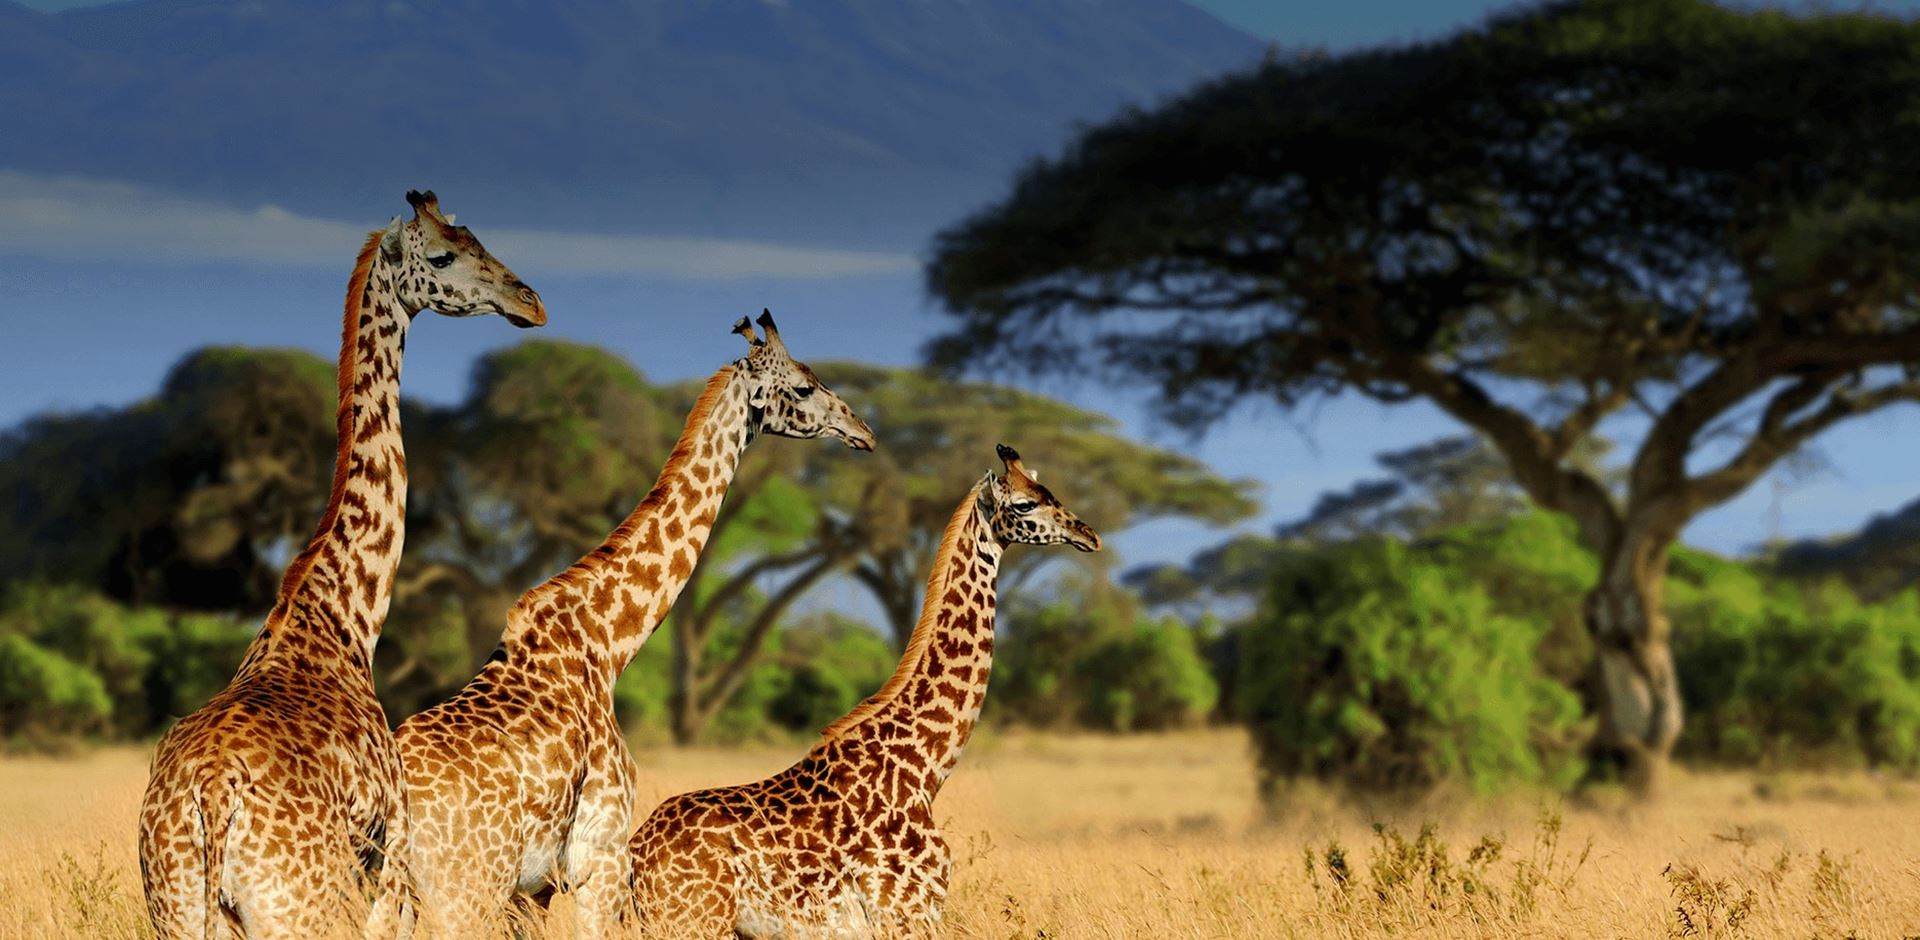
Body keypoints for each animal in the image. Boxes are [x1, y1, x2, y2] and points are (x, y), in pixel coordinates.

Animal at [138, 190, 547, 940]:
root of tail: (213, 794)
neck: (344, 613)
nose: (530, 303)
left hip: (177, 907)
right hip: (304, 907)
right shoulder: (392, 861)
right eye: (442, 255)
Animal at [392, 311, 877, 940]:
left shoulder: (536, 888)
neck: (607, 642)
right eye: (801, 387)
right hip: (466, 887)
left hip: (394, 888)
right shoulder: (599, 857)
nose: (862, 430)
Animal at [627, 444, 1100, 939]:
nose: (1087, 534)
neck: (926, 767)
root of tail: (635, 857)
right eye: (1025, 504)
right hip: (693, 922)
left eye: (1047, 489)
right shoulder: (907, 913)